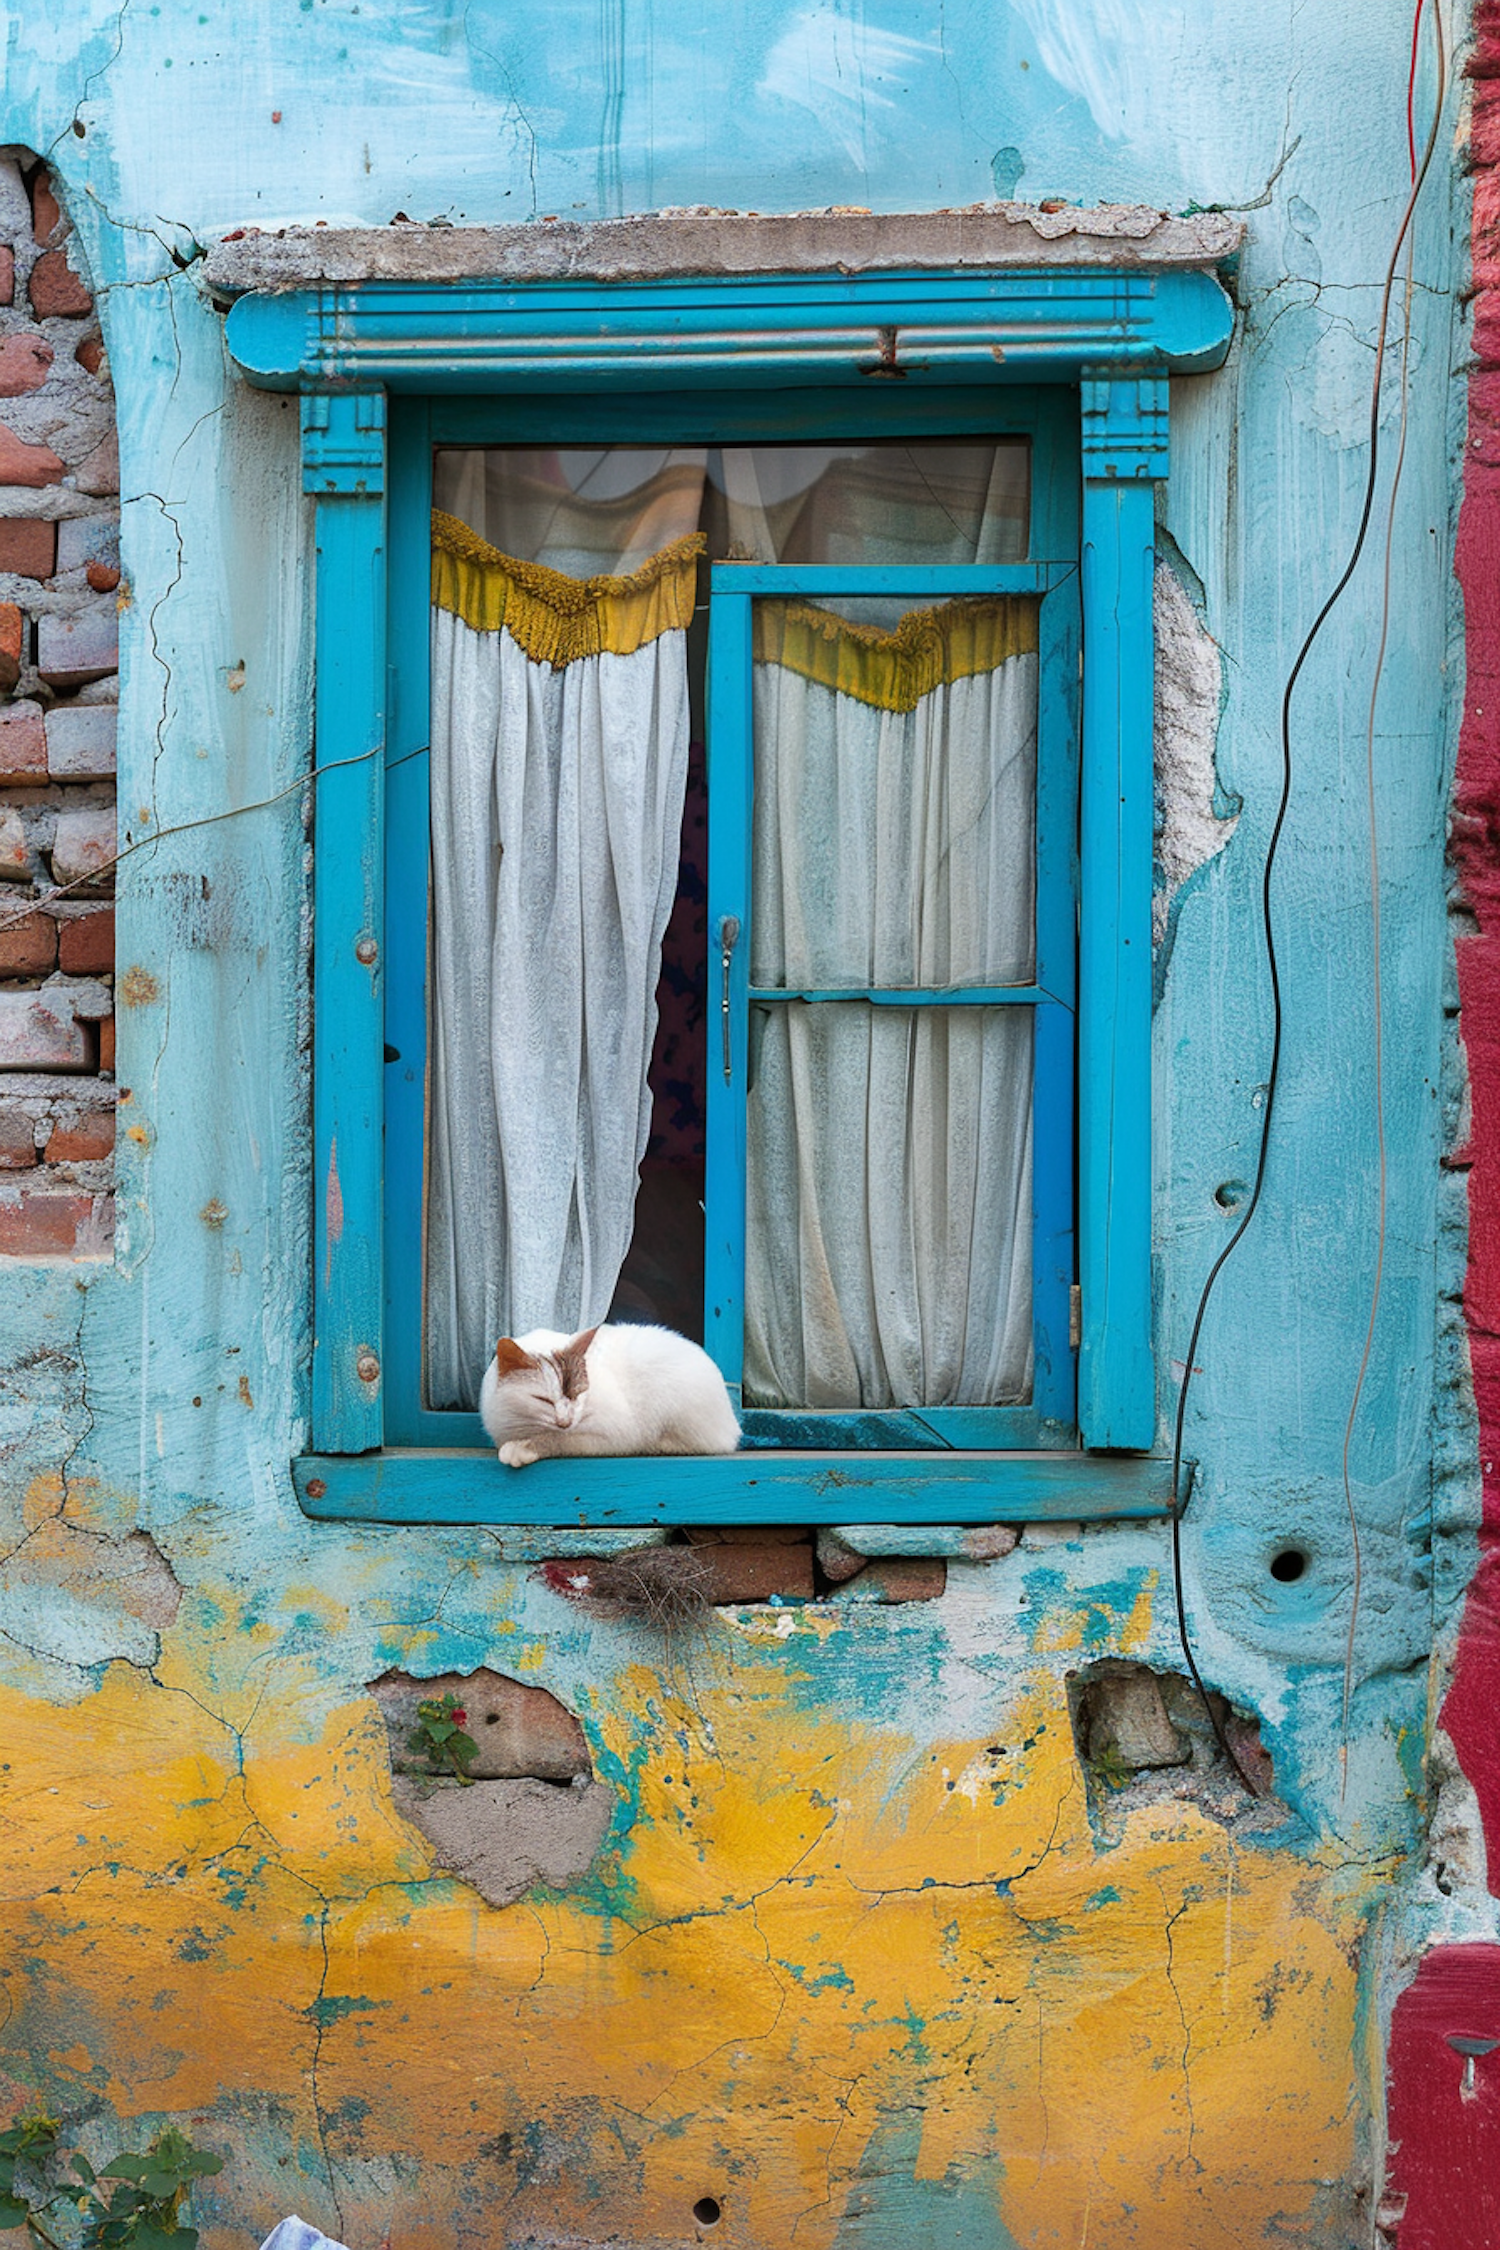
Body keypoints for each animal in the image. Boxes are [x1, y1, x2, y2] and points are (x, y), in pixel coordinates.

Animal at [479, 1323, 742, 1467]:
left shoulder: (614, 1434)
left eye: (578, 1394)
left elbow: (559, 1440)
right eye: (542, 1400)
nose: (565, 1421)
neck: (521, 1424)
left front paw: (522, 1448)